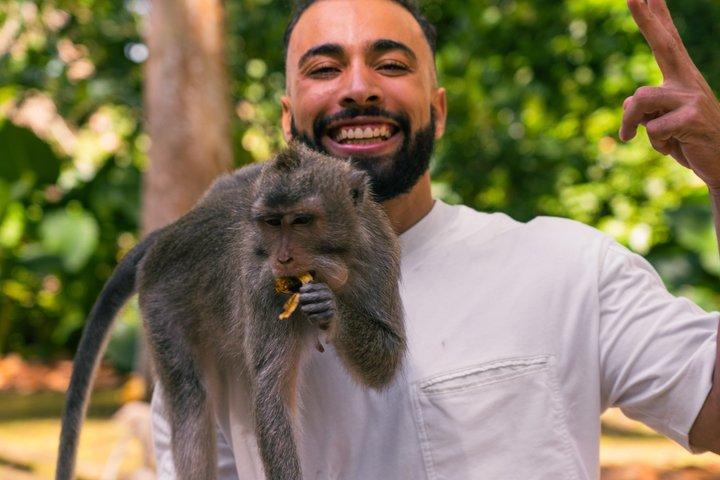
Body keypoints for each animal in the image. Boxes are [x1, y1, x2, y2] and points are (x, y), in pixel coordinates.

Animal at [55, 142, 406, 480]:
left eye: (302, 220)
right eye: (273, 222)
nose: (283, 257)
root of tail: (172, 231)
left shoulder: (379, 250)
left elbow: (386, 358)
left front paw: (329, 306)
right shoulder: (260, 283)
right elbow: (270, 389)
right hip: (160, 301)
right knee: (190, 401)